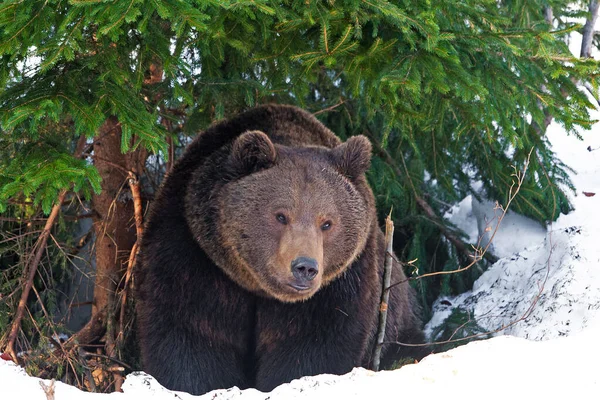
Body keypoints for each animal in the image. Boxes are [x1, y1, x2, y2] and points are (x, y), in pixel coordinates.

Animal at [137, 103, 422, 394]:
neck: (257, 288)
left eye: (327, 222)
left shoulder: (341, 285)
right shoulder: (193, 254)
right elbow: (191, 336)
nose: (305, 267)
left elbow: (312, 347)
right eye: (281, 215)